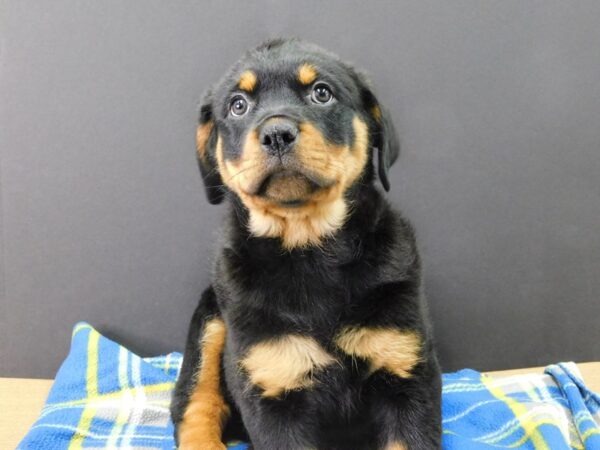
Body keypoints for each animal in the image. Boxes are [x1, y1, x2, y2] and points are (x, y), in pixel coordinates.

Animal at [169, 39, 440, 450]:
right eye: (237, 105)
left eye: (321, 93)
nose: (276, 133)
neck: (309, 247)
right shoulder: (271, 384)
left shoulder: (406, 370)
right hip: (210, 324)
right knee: (195, 403)